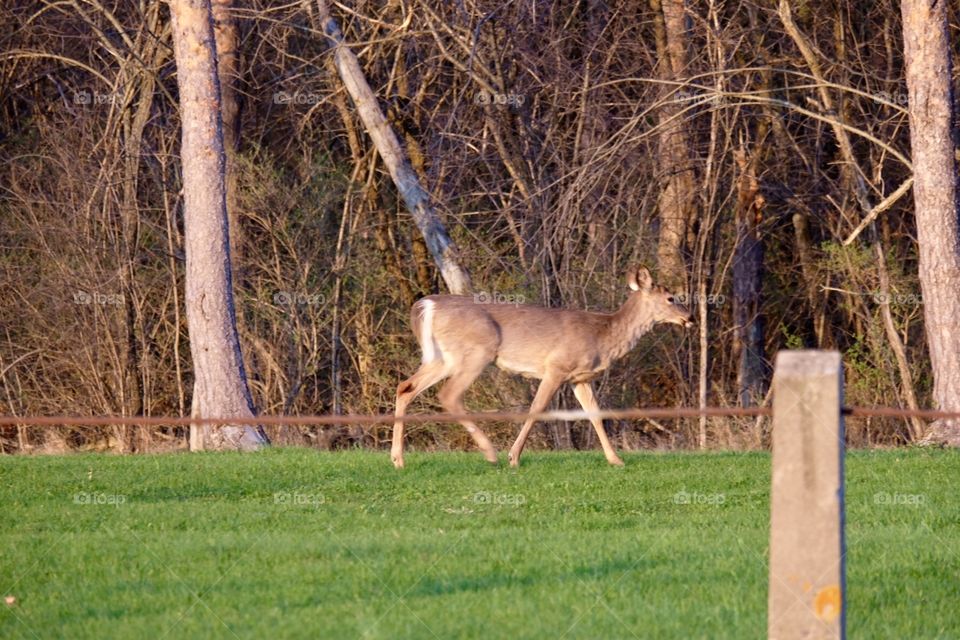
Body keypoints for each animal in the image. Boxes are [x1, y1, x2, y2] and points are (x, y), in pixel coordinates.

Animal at [390, 266, 692, 468]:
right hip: (476, 352)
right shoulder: (556, 367)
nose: (689, 317)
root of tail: (427, 305)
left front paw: (616, 459)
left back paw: (398, 460)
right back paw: (491, 453)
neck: (603, 334)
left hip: (441, 358)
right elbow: (536, 409)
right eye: (670, 298)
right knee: (448, 394)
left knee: (405, 387)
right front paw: (514, 457)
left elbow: (595, 414)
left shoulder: (579, 378)